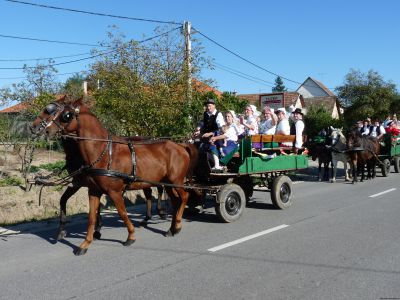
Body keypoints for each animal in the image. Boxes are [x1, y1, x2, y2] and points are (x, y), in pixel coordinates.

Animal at [30, 99, 195, 254]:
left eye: (66, 115)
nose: (40, 129)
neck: (102, 151)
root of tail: (180, 146)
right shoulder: (93, 191)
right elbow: (91, 217)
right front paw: (85, 243)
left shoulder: (113, 191)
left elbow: (123, 213)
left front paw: (130, 236)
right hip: (167, 183)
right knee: (175, 200)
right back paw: (172, 228)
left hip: (176, 181)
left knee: (184, 197)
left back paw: (177, 223)